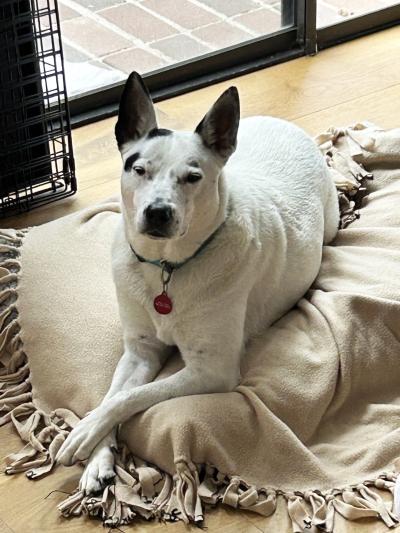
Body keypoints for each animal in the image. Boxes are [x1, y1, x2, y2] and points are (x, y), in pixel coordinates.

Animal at [55, 72, 338, 492]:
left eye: (192, 178)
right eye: (138, 169)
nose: (157, 212)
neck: (167, 267)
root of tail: (284, 124)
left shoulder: (211, 370)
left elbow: (130, 397)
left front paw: (85, 432)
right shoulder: (140, 351)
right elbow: (112, 395)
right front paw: (97, 457)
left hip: (330, 223)